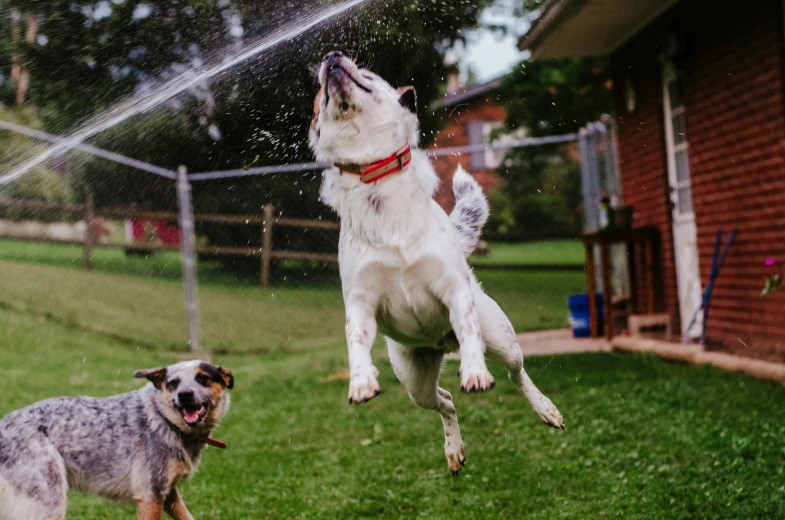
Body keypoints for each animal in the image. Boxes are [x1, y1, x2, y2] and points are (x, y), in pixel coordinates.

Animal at [0, 360, 233, 516]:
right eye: (173, 383)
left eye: (203, 378)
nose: (184, 395)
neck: (163, 418)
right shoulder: (150, 496)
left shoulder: (167, 494)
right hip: (49, 500)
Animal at [308, 52, 564, 476]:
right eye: (318, 98)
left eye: (368, 74)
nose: (330, 56)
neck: (378, 188)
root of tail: (442, 343)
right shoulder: (360, 304)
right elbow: (356, 341)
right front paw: (360, 381)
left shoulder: (454, 289)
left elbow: (470, 331)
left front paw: (475, 370)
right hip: (415, 381)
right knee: (445, 401)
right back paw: (453, 450)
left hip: (503, 339)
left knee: (517, 372)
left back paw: (545, 408)